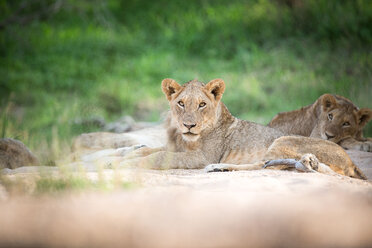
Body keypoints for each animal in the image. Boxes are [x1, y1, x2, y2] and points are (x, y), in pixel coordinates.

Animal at [120, 78, 366, 179]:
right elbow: (149, 149)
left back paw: (218, 167)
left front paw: (125, 164)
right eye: (181, 103)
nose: (189, 125)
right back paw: (219, 169)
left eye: (202, 104)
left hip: (283, 140)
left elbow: (159, 156)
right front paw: (123, 155)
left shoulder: (202, 156)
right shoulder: (177, 147)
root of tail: (350, 160)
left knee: (269, 165)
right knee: (267, 164)